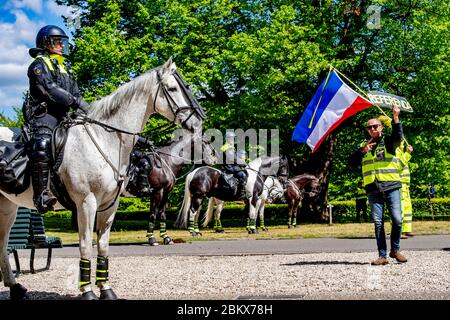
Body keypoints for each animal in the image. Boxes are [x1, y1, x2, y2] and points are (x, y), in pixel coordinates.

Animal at [0, 57, 206, 300]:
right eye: (173, 88)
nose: (198, 121)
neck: (104, 139)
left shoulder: (109, 206)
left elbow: (103, 246)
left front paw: (106, 289)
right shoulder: (86, 203)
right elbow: (86, 245)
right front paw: (87, 291)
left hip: (7, 207)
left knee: (2, 243)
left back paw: (15, 287)